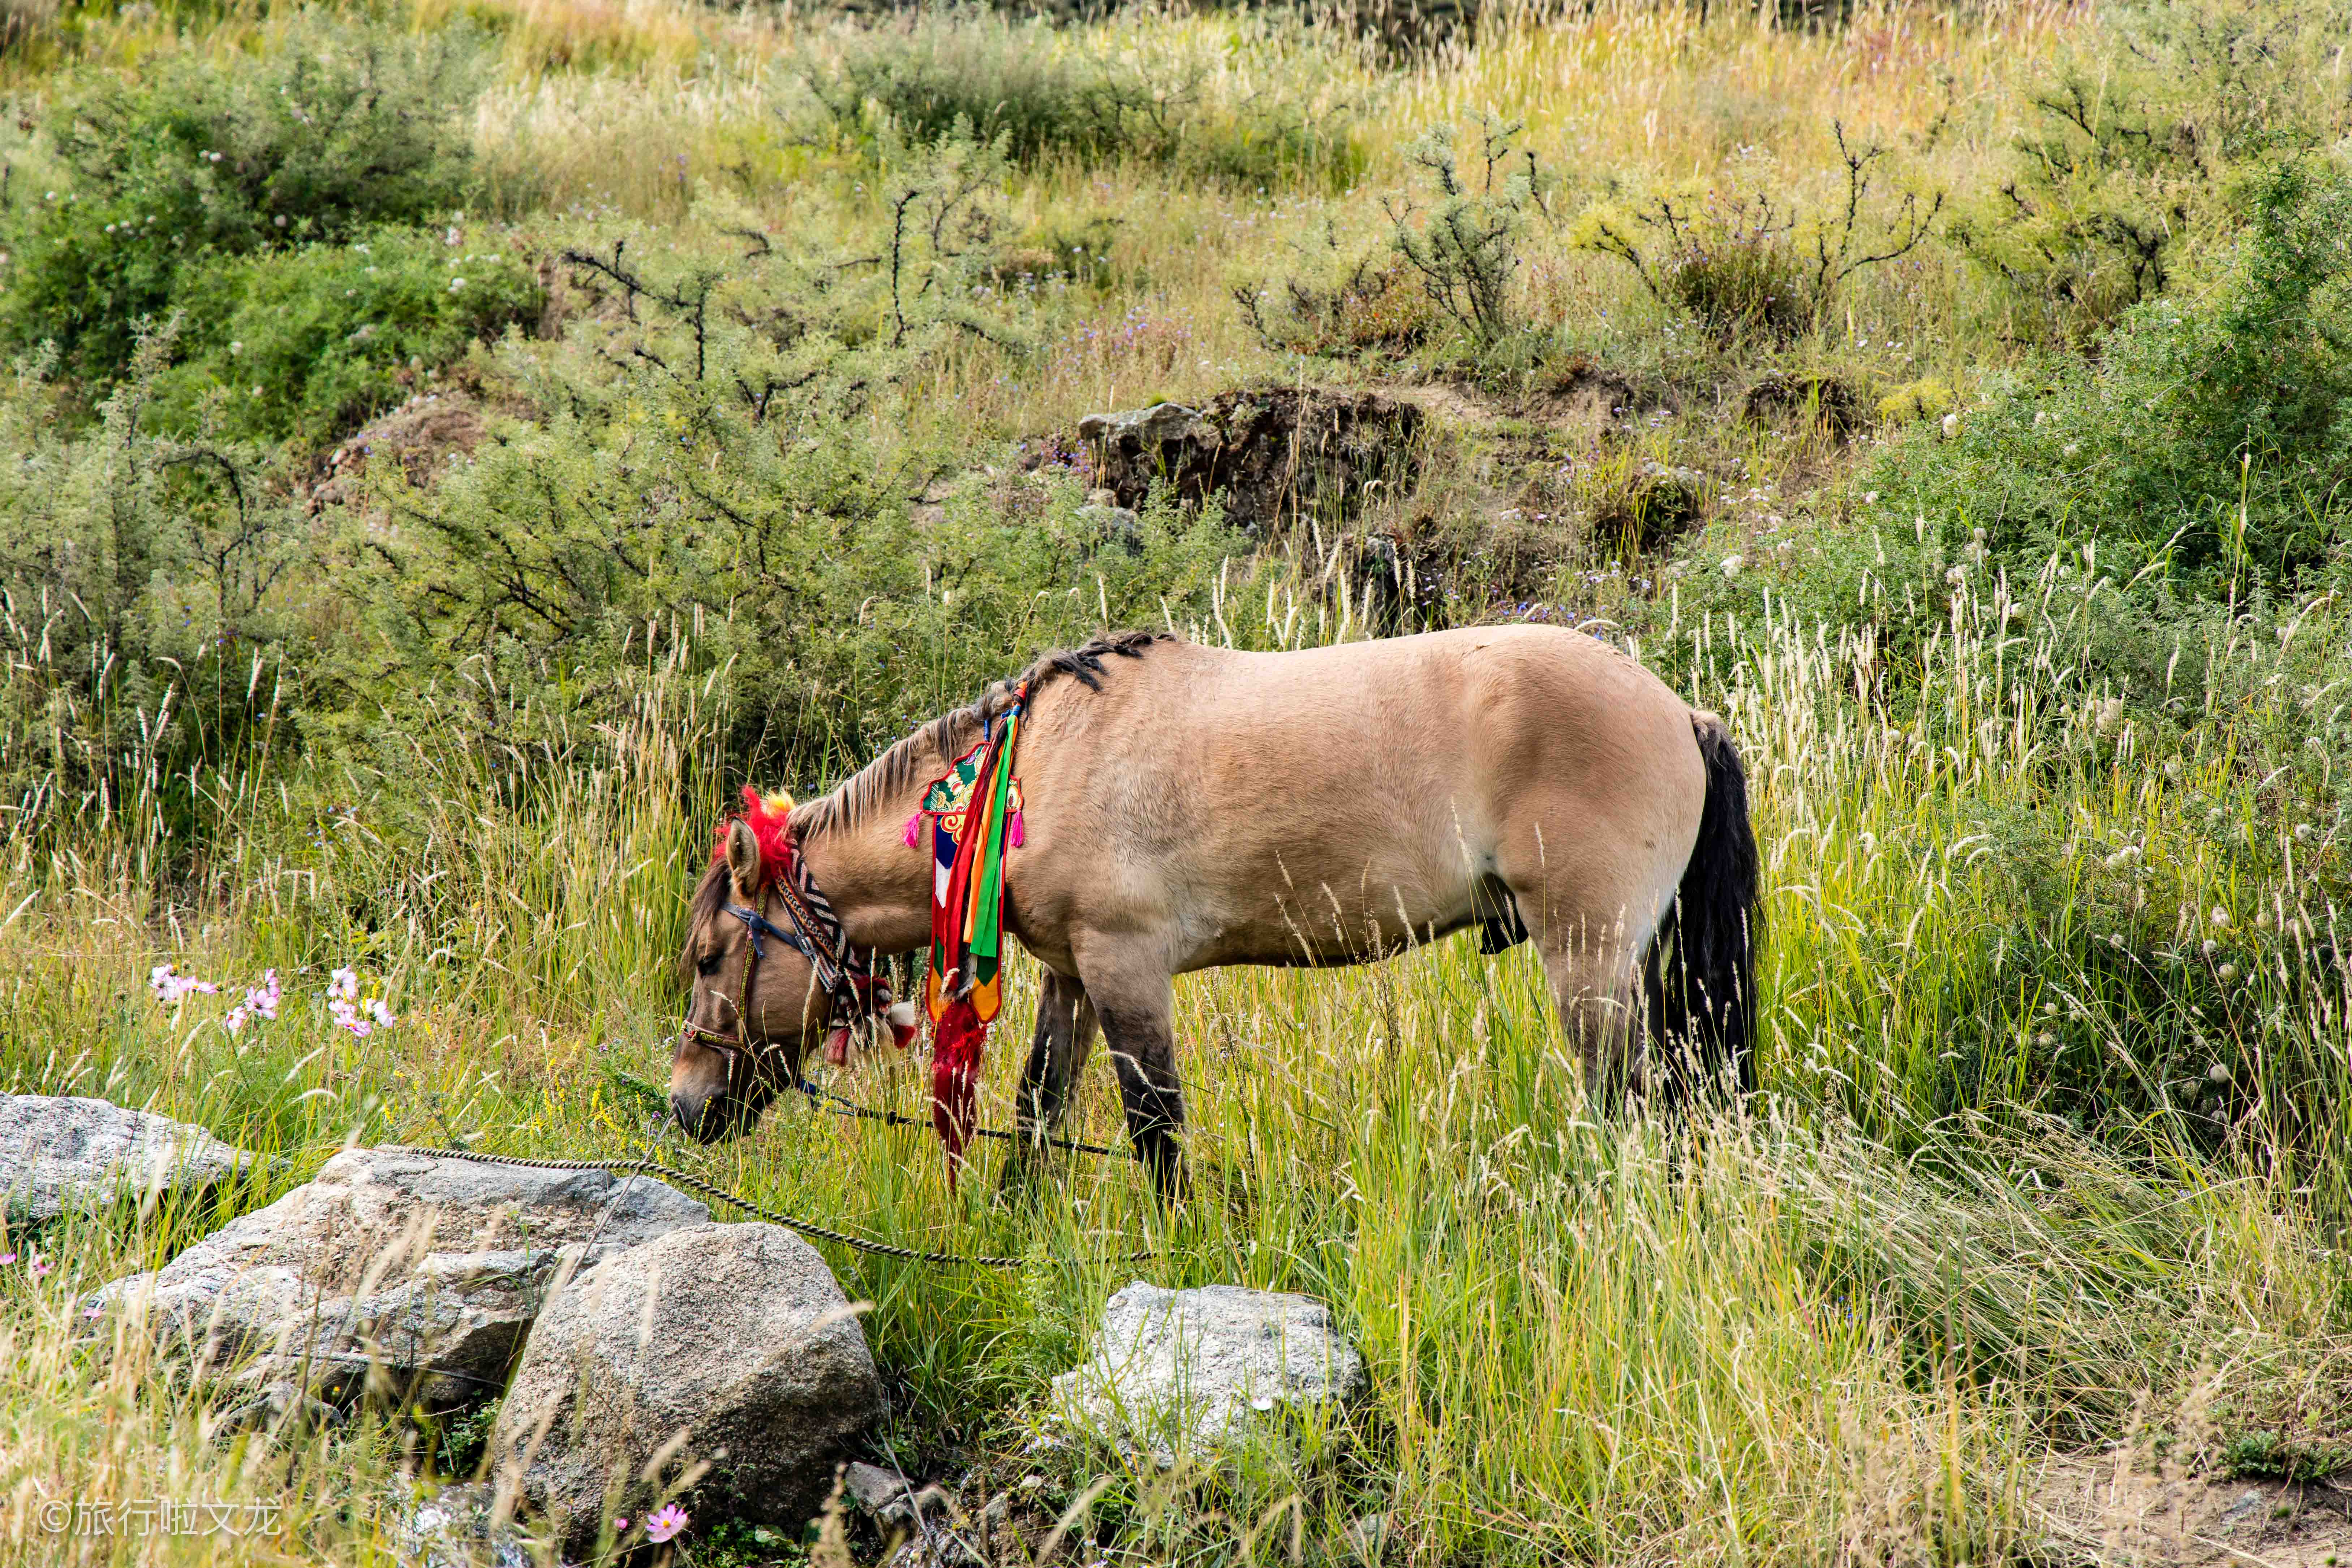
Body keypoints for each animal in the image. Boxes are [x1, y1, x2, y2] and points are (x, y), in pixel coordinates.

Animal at [670, 626, 1761, 1198]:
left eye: (710, 955)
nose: (684, 1101)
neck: (1040, 764)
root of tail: (1678, 711)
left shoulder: (1125, 969)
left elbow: (1156, 1127)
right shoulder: (1071, 974)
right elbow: (1037, 1108)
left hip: (1587, 959)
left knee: (1631, 1106)